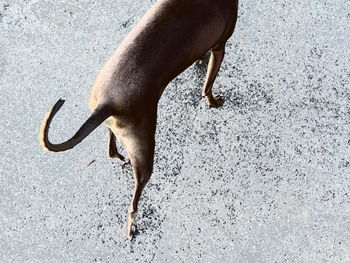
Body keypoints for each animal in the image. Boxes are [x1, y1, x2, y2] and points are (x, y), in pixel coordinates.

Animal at [39, 0, 239, 239]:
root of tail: (107, 103)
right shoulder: (220, 46)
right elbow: (208, 85)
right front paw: (213, 101)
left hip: (117, 127)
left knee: (110, 146)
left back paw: (118, 157)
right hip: (144, 149)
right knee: (133, 203)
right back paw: (131, 228)